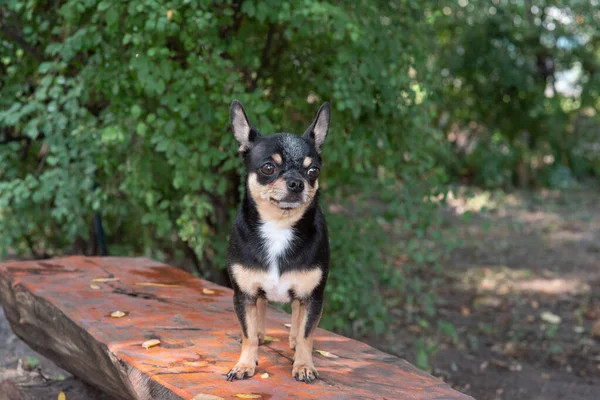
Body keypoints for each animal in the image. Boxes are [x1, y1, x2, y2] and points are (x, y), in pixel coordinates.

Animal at [225, 100, 330, 384]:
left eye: (313, 171)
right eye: (268, 168)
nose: (296, 182)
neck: (279, 227)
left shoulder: (312, 297)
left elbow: (306, 334)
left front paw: (304, 365)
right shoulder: (244, 295)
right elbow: (248, 333)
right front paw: (244, 363)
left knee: (296, 316)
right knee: (261, 310)